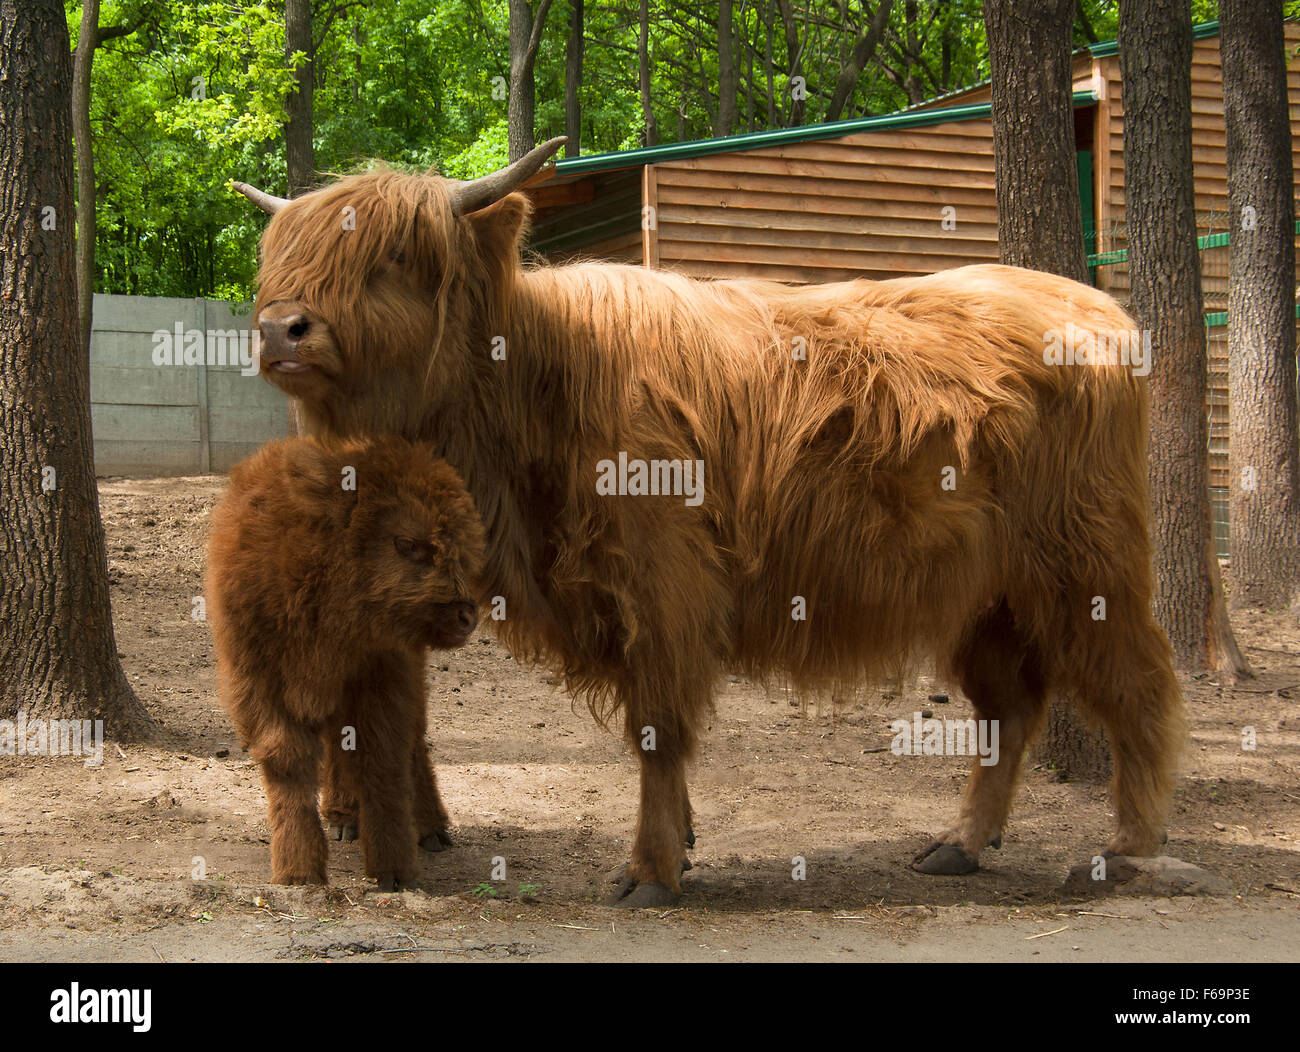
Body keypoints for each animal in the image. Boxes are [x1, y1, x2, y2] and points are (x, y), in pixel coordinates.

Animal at [205, 434, 486, 884]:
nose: (466, 615)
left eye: (459, 548)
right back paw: (342, 818)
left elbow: (383, 759)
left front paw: (393, 871)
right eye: (407, 544)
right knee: (340, 742)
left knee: (411, 742)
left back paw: (431, 830)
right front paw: (298, 870)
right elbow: (287, 759)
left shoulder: (383, 674)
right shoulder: (258, 681)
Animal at [236, 139, 1190, 905]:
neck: (535, 388)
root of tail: (1100, 310)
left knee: (1138, 686)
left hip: (1088, 562)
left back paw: (1130, 849)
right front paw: (684, 842)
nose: (280, 329)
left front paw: (651, 871)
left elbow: (656, 726)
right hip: (985, 592)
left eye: (394, 255)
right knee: (1009, 707)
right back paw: (962, 844)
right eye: (281, 258)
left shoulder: (663, 584)